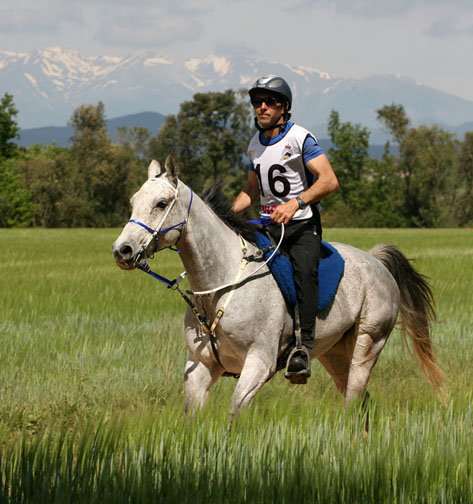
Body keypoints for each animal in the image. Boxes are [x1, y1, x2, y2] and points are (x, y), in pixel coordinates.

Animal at [112, 156, 444, 420]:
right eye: (133, 202)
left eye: (161, 204)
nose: (122, 251)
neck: (219, 286)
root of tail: (376, 261)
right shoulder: (201, 366)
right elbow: (191, 421)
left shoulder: (259, 363)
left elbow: (233, 415)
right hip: (336, 354)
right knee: (363, 403)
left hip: (368, 342)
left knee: (353, 401)